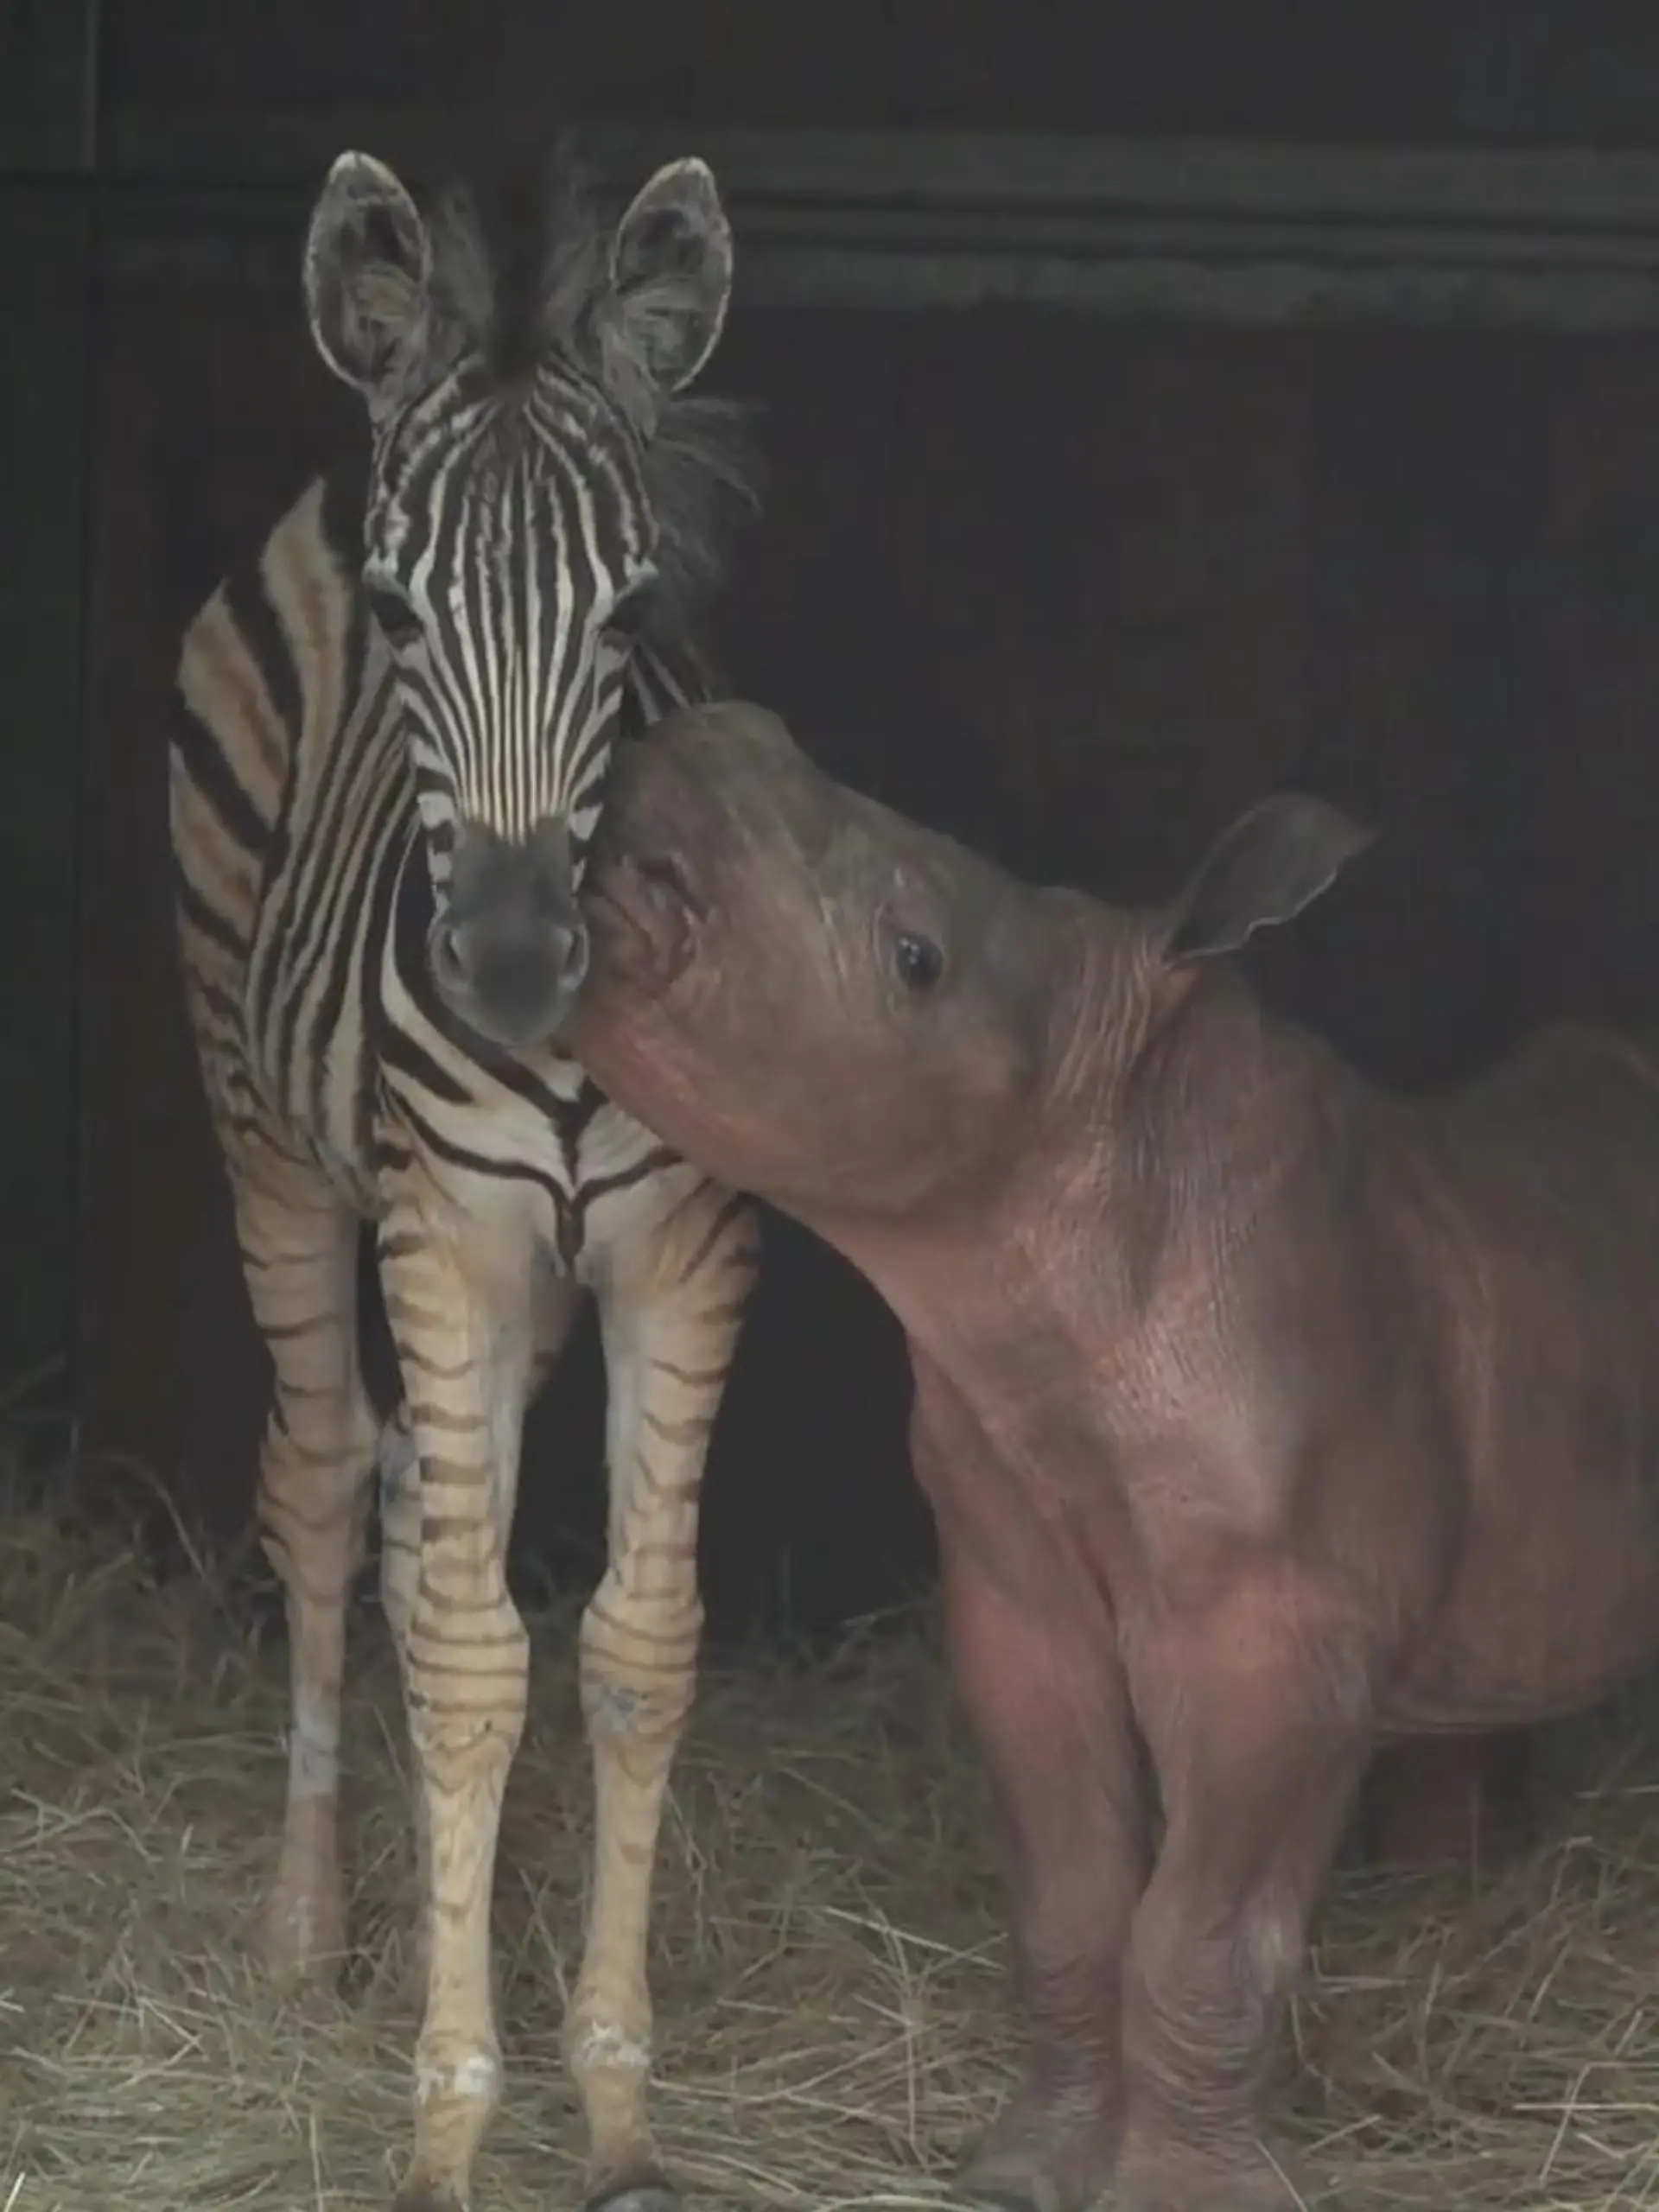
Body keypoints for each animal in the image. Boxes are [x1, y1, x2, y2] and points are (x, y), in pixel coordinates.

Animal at [171, 136, 760, 2212]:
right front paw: (447, 2111)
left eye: (631, 613)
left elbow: (631, 1647)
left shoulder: (680, 1254)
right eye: (405, 617)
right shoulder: (450, 1231)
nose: (509, 967)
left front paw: (613, 2099)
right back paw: (304, 1923)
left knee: (449, 1520)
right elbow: (463, 1652)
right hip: (264, 1131)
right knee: (334, 1485)